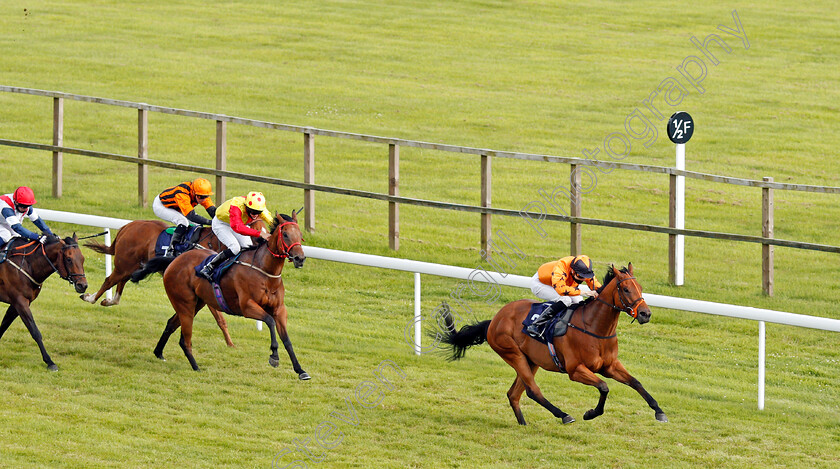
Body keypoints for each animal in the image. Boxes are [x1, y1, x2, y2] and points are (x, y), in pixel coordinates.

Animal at [0, 234, 88, 370]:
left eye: (82, 258)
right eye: (68, 259)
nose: (82, 285)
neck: (28, 264)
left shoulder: (17, 303)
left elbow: (4, 325)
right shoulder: (20, 301)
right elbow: (35, 331)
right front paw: (50, 362)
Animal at [81, 218, 264, 346]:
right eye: (255, 229)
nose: (261, 244)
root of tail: (128, 226)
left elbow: (220, 319)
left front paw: (230, 343)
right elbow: (219, 317)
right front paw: (230, 342)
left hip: (131, 265)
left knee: (120, 282)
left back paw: (109, 300)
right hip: (123, 264)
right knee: (108, 281)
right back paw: (90, 298)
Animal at [133, 211, 310, 376]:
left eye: (300, 235)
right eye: (285, 234)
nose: (300, 258)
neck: (265, 271)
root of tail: (175, 260)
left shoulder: (279, 310)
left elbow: (286, 339)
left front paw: (300, 370)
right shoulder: (247, 307)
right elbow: (269, 321)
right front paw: (274, 356)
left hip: (196, 304)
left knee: (172, 325)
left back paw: (159, 352)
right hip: (184, 304)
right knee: (186, 340)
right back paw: (196, 367)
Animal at [440, 264, 668, 424]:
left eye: (640, 288)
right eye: (626, 289)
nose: (645, 313)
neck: (595, 328)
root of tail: (494, 320)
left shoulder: (610, 366)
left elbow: (636, 382)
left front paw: (659, 411)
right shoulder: (575, 370)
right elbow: (604, 387)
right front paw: (591, 413)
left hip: (531, 360)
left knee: (514, 394)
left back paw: (523, 424)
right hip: (512, 354)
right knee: (533, 390)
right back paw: (564, 415)